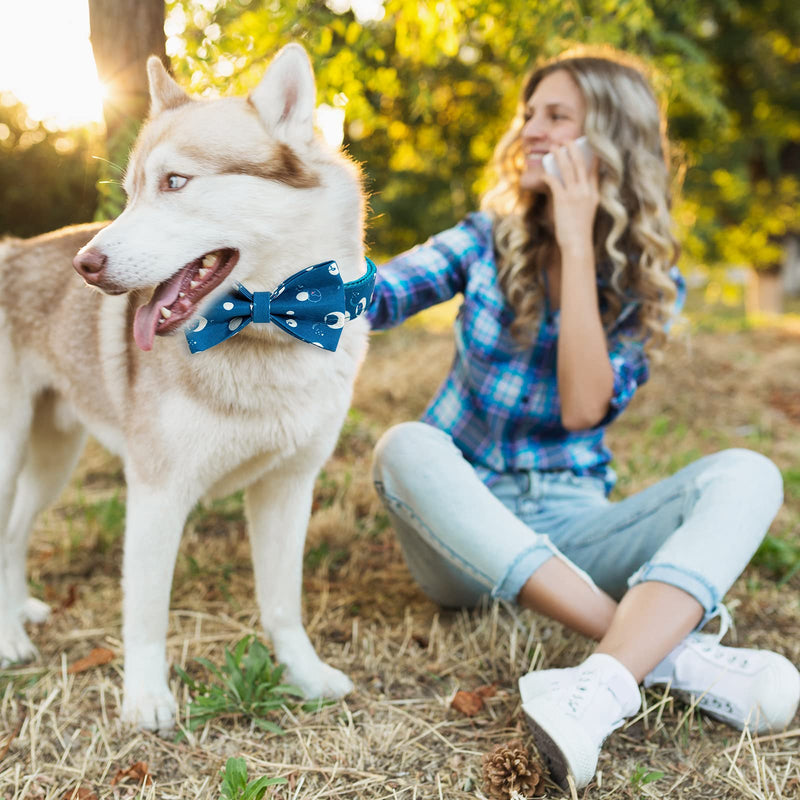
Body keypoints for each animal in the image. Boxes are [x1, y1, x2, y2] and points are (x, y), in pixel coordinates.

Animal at [0, 42, 368, 732]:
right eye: (128, 194)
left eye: (174, 183)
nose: (85, 265)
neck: (265, 329)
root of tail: (11, 249)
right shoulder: (156, 492)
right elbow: (145, 613)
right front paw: (146, 698)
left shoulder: (289, 486)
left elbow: (283, 603)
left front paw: (304, 675)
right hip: (9, 452)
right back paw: (9, 637)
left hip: (55, 457)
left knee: (12, 535)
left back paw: (17, 614)